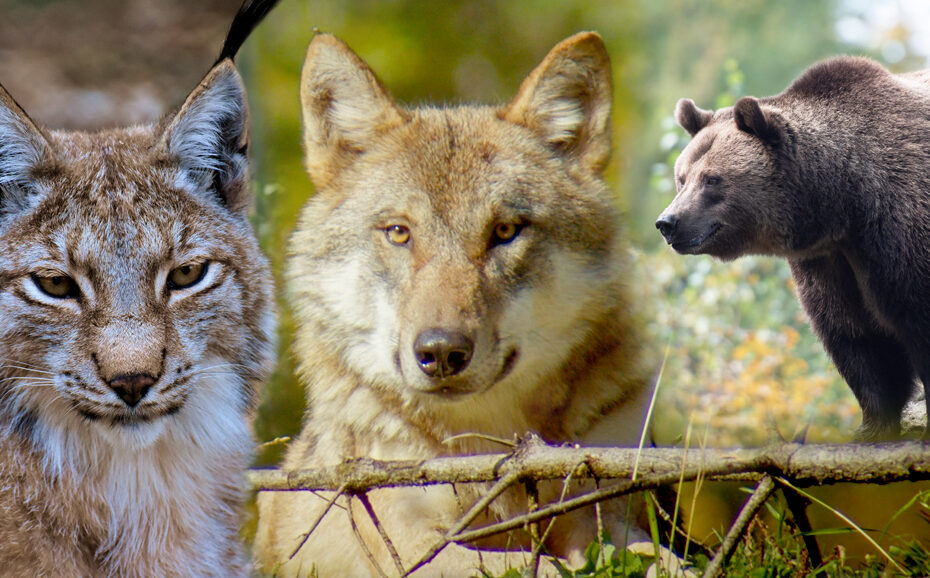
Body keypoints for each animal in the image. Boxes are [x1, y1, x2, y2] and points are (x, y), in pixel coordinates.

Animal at [255, 31, 657, 576]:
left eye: (504, 231)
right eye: (399, 232)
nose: (441, 352)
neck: (484, 442)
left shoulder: (606, 505)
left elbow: (656, 557)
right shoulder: (404, 528)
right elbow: (522, 565)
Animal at [655, 56, 930, 441]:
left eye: (712, 179)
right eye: (682, 178)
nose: (668, 222)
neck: (845, 203)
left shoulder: (899, 228)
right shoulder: (827, 261)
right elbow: (857, 336)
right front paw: (872, 427)